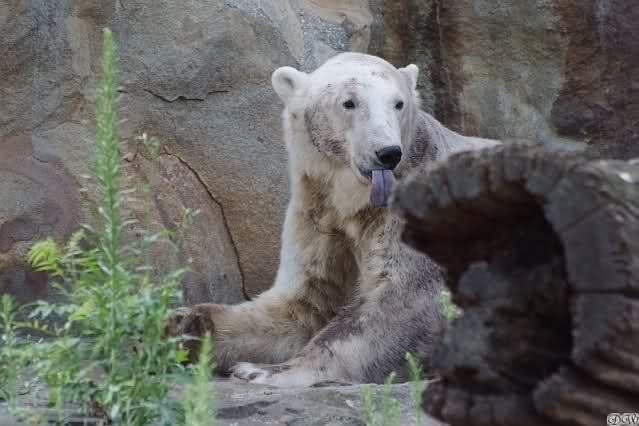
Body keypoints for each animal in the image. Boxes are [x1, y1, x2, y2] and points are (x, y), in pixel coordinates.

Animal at [165, 52, 499, 387]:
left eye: (398, 103)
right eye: (349, 102)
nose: (388, 153)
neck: (355, 200)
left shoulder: (419, 218)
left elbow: (398, 304)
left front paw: (262, 370)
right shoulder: (318, 216)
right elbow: (302, 304)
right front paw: (178, 324)